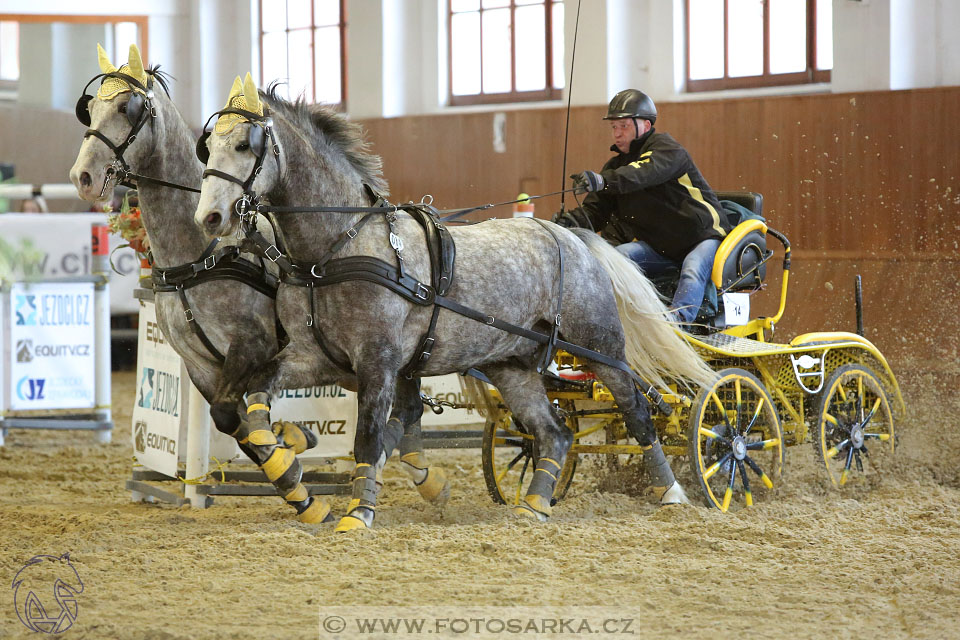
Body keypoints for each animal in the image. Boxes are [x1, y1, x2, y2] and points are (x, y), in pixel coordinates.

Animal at [70, 47, 446, 524]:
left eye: (126, 108)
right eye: (89, 109)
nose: (82, 175)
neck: (201, 252)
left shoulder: (251, 345)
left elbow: (236, 413)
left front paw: (295, 460)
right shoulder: (200, 365)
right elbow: (235, 421)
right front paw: (297, 474)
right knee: (408, 403)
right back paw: (423, 475)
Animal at [195, 79, 716, 528]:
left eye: (245, 146)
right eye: (209, 146)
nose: (210, 218)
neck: (336, 249)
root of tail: (571, 235)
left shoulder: (378, 363)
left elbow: (369, 437)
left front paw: (357, 515)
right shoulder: (314, 357)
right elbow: (254, 397)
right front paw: (287, 463)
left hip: (600, 348)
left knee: (637, 411)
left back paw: (673, 493)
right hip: (512, 365)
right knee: (555, 432)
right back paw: (533, 505)